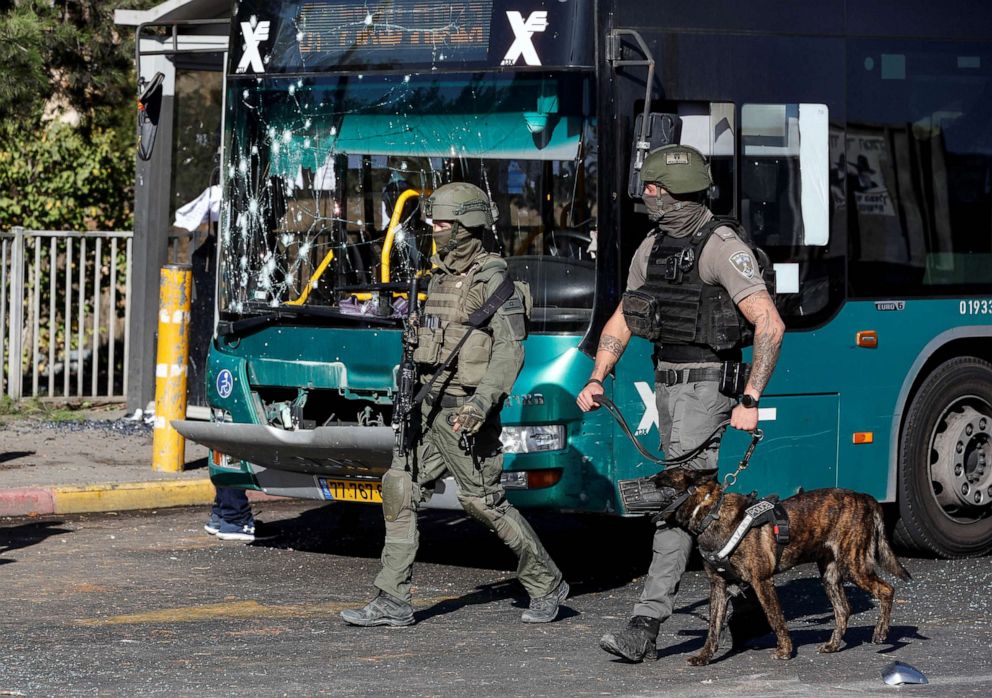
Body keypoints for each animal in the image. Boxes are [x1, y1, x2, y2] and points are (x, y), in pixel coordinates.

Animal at [652, 468, 916, 664]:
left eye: (660, 482)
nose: (644, 482)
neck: (710, 512)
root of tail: (866, 498)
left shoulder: (762, 581)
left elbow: (775, 618)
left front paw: (786, 650)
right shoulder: (718, 587)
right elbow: (713, 627)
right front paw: (705, 656)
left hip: (854, 564)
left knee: (887, 590)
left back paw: (881, 633)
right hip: (830, 575)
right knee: (843, 610)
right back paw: (833, 645)